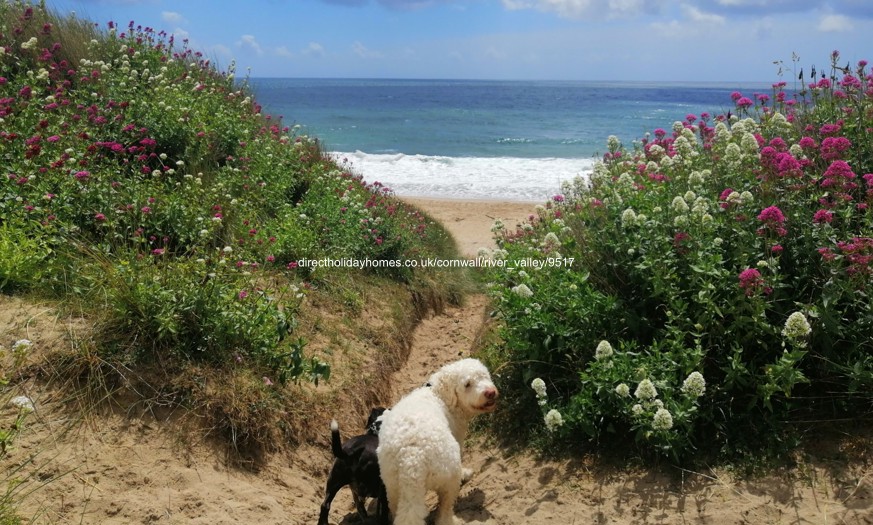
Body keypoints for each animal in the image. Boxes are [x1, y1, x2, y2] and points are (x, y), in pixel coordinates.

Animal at [374, 356, 498, 524]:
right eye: (467, 384)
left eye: (484, 376)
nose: (490, 392)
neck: (438, 394)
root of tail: (411, 458)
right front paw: (466, 473)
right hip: (448, 475)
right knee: (445, 506)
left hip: (393, 486)